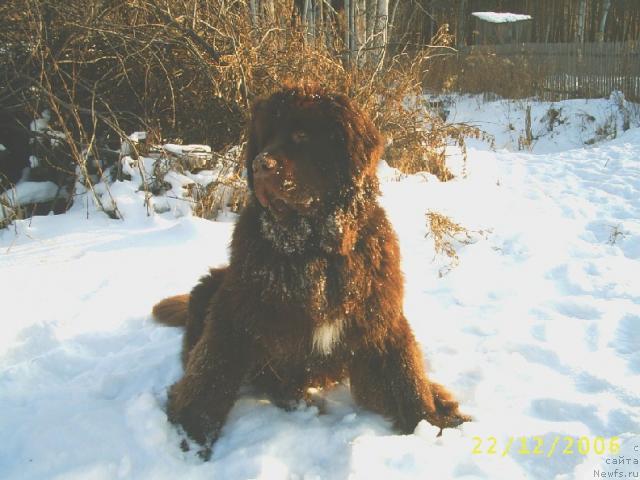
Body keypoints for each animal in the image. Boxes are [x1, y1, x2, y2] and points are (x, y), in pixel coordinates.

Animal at [151, 84, 470, 456]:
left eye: (301, 135)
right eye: (265, 138)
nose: (260, 165)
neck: (314, 249)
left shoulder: (379, 316)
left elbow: (405, 375)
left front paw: (429, 422)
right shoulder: (235, 312)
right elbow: (211, 370)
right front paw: (191, 431)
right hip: (211, 288)